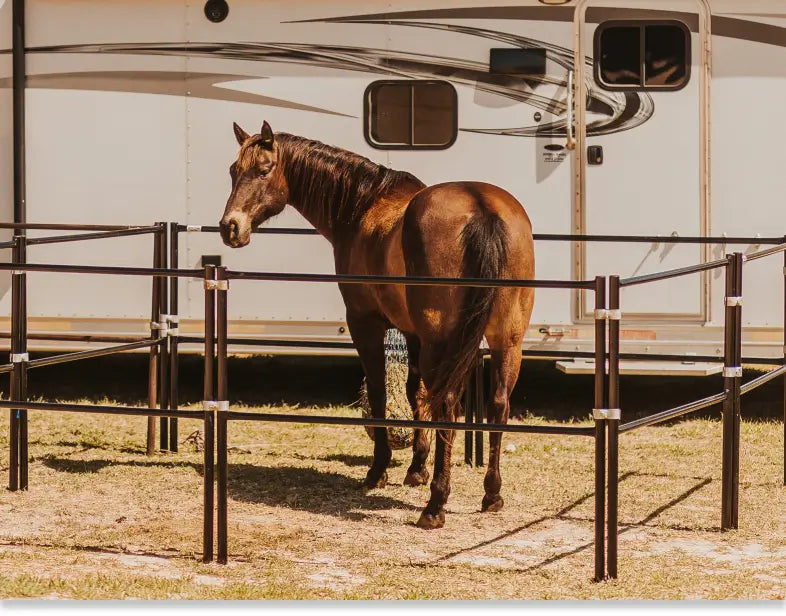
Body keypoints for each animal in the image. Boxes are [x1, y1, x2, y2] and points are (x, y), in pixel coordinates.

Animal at [220, 121, 532, 528]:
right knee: (497, 404)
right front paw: (417, 467)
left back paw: (436, 505)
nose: (230, 228)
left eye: (263, 170)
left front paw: (378, 470)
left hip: (444, 342)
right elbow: (416, 394)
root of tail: (481, 207)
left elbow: (383, 393)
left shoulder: (365, 323)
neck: (365, 206)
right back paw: (491, 493)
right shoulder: (413, 334)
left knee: (448, 405)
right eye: (233, 171)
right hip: (505, 341)